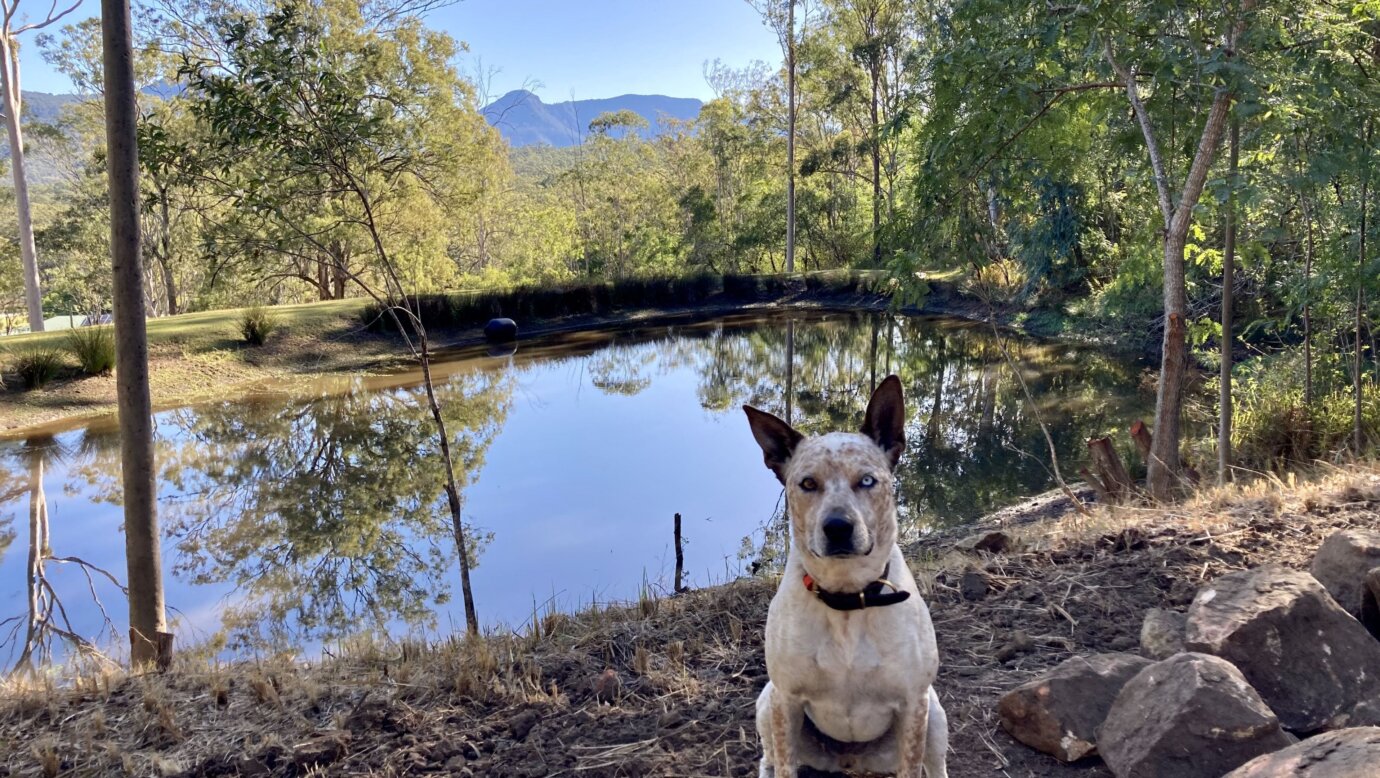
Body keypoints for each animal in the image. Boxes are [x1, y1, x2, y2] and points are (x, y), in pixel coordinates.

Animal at [745, 372, 949, 772]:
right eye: (807, 483)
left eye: (867, 481)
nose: (838, 527)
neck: (846, 600)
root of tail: (849, 762)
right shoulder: (786, 699)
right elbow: (784, 765)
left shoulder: (914, 704)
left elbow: (912, 765)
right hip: (767, 703)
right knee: (769, 760)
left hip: (934, 714)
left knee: (936, 766)